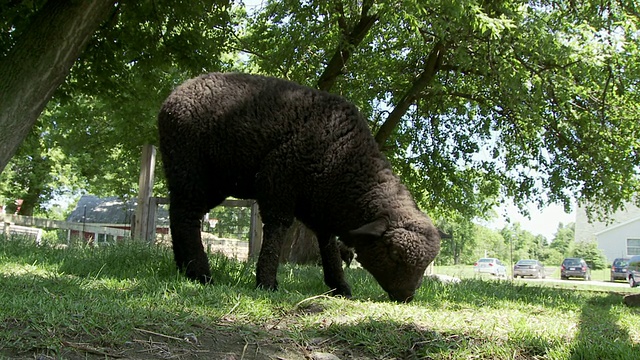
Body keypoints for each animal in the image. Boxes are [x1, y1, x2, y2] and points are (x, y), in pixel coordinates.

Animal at [158, 72, 442, 300]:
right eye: (393, 254)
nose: (406, 297)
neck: (345, 157)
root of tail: (174, 94)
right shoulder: (278, 178)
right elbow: (278, 228)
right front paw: (267, 282)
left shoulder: (320, 207)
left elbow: (327, 244)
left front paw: (339, 286)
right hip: (189, 165)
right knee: (187, 216)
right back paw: (200, 274)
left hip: (212, 181)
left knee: (180, 213)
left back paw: (184, 267)